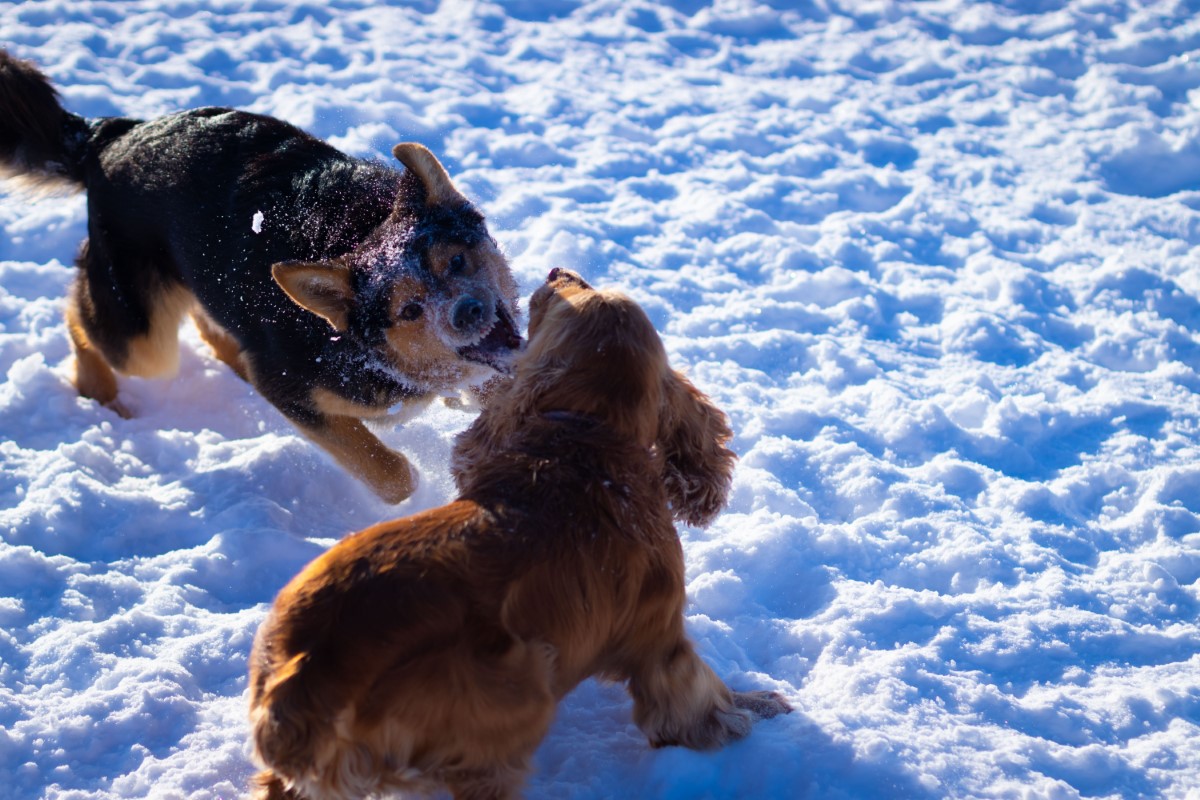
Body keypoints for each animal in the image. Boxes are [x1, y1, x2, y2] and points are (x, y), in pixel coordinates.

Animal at [0, 50, 520, 501]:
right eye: (409, 310)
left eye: (455, 262)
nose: (468, 313)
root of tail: (109, 136)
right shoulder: (290, 388)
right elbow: (393, 475)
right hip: (143, 338)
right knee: (80, 318)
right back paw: (98, 388)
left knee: (208, 322)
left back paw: (233, 362)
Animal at [246, 271, 787, 800]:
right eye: (575, 290)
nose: (556, 271)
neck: (589, 433)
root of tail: (306, 674)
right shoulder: (660, 639)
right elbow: (697, 695)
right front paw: (750, 711)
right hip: (520, 687)